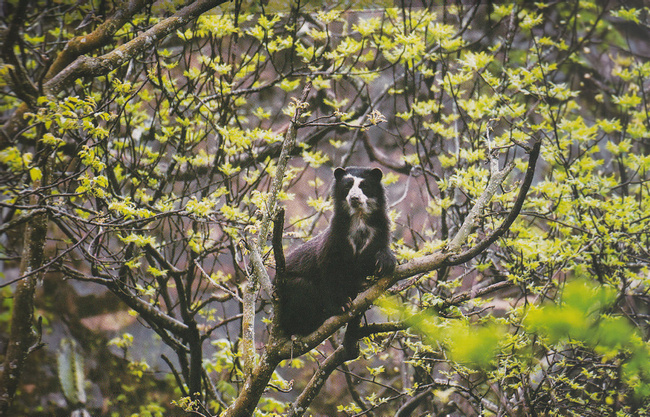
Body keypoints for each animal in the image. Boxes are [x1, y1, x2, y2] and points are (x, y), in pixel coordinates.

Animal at [274, 166, 394, 334]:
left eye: (364, 186)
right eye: (347, 186)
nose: (354, 198)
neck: (359, 219)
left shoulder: (379, 232)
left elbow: (370, 260)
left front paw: (385, 262)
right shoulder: (336, 237)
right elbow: (330, 271)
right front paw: (341, 305)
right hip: (288, 293)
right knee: (302, 287)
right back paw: (310, 324)